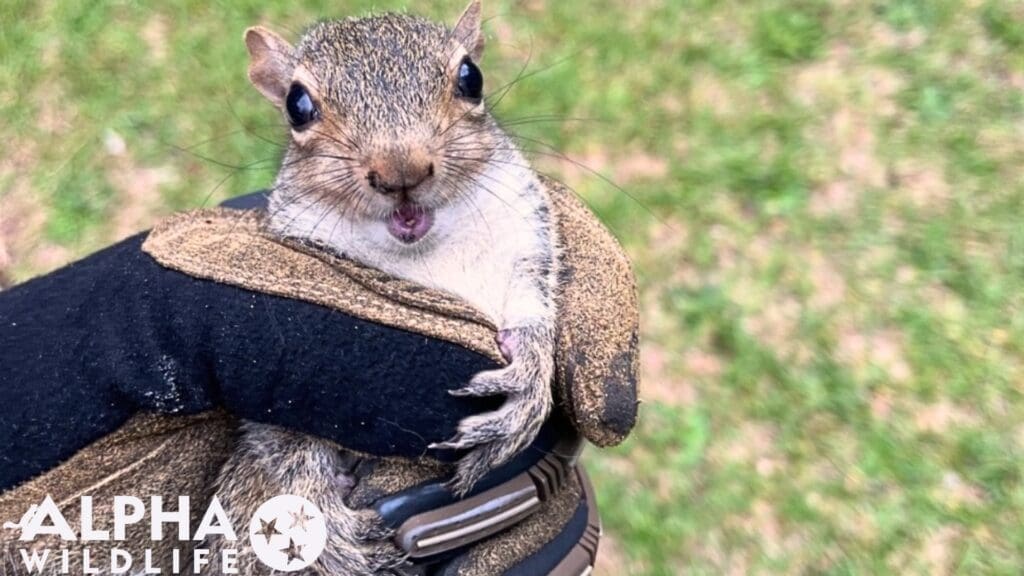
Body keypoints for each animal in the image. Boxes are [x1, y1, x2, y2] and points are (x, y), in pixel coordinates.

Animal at [205, 3, 562, 574]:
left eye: (471, 77)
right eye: (297, 104)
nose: (401, 170)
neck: (422, 253)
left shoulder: (525, 238)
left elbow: (534, 309)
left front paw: (527, 378)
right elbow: (281, 435)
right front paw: (316, 515)